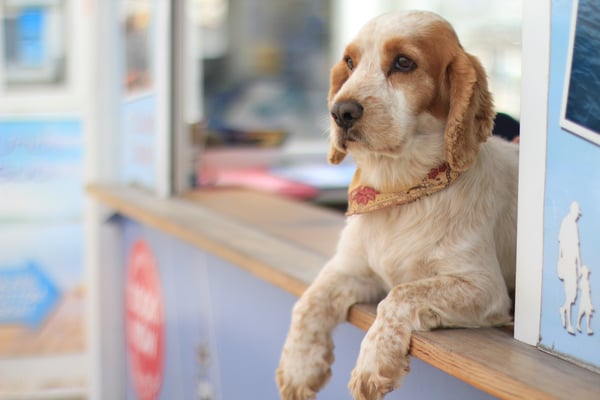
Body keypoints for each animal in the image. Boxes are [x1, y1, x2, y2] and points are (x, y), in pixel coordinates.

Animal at [276, 10, 516, 400]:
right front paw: (299, 367)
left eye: (404, 62)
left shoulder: (483, 286)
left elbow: (402, 293)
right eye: (350, 62)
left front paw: (373, 363)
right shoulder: (352, 269)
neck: (398, 191)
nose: (340, 111)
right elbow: (310, 299)